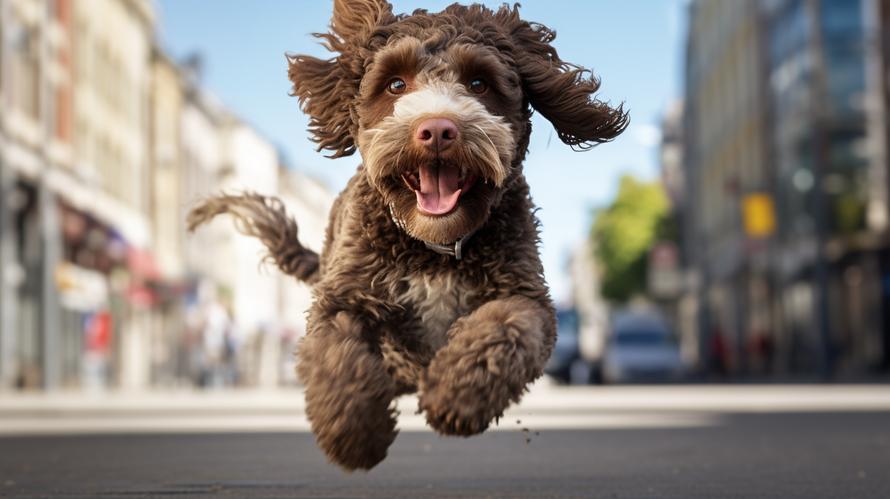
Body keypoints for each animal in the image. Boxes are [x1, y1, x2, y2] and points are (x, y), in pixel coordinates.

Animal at [187, 0, 624, 472]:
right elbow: (337, 358)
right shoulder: (344, 297)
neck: (435, 248)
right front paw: (355, 437)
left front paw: (455, 399)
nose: (437, 130)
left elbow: (504, 329)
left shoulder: (524, 295)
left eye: (479, 83)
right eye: (396, 83)